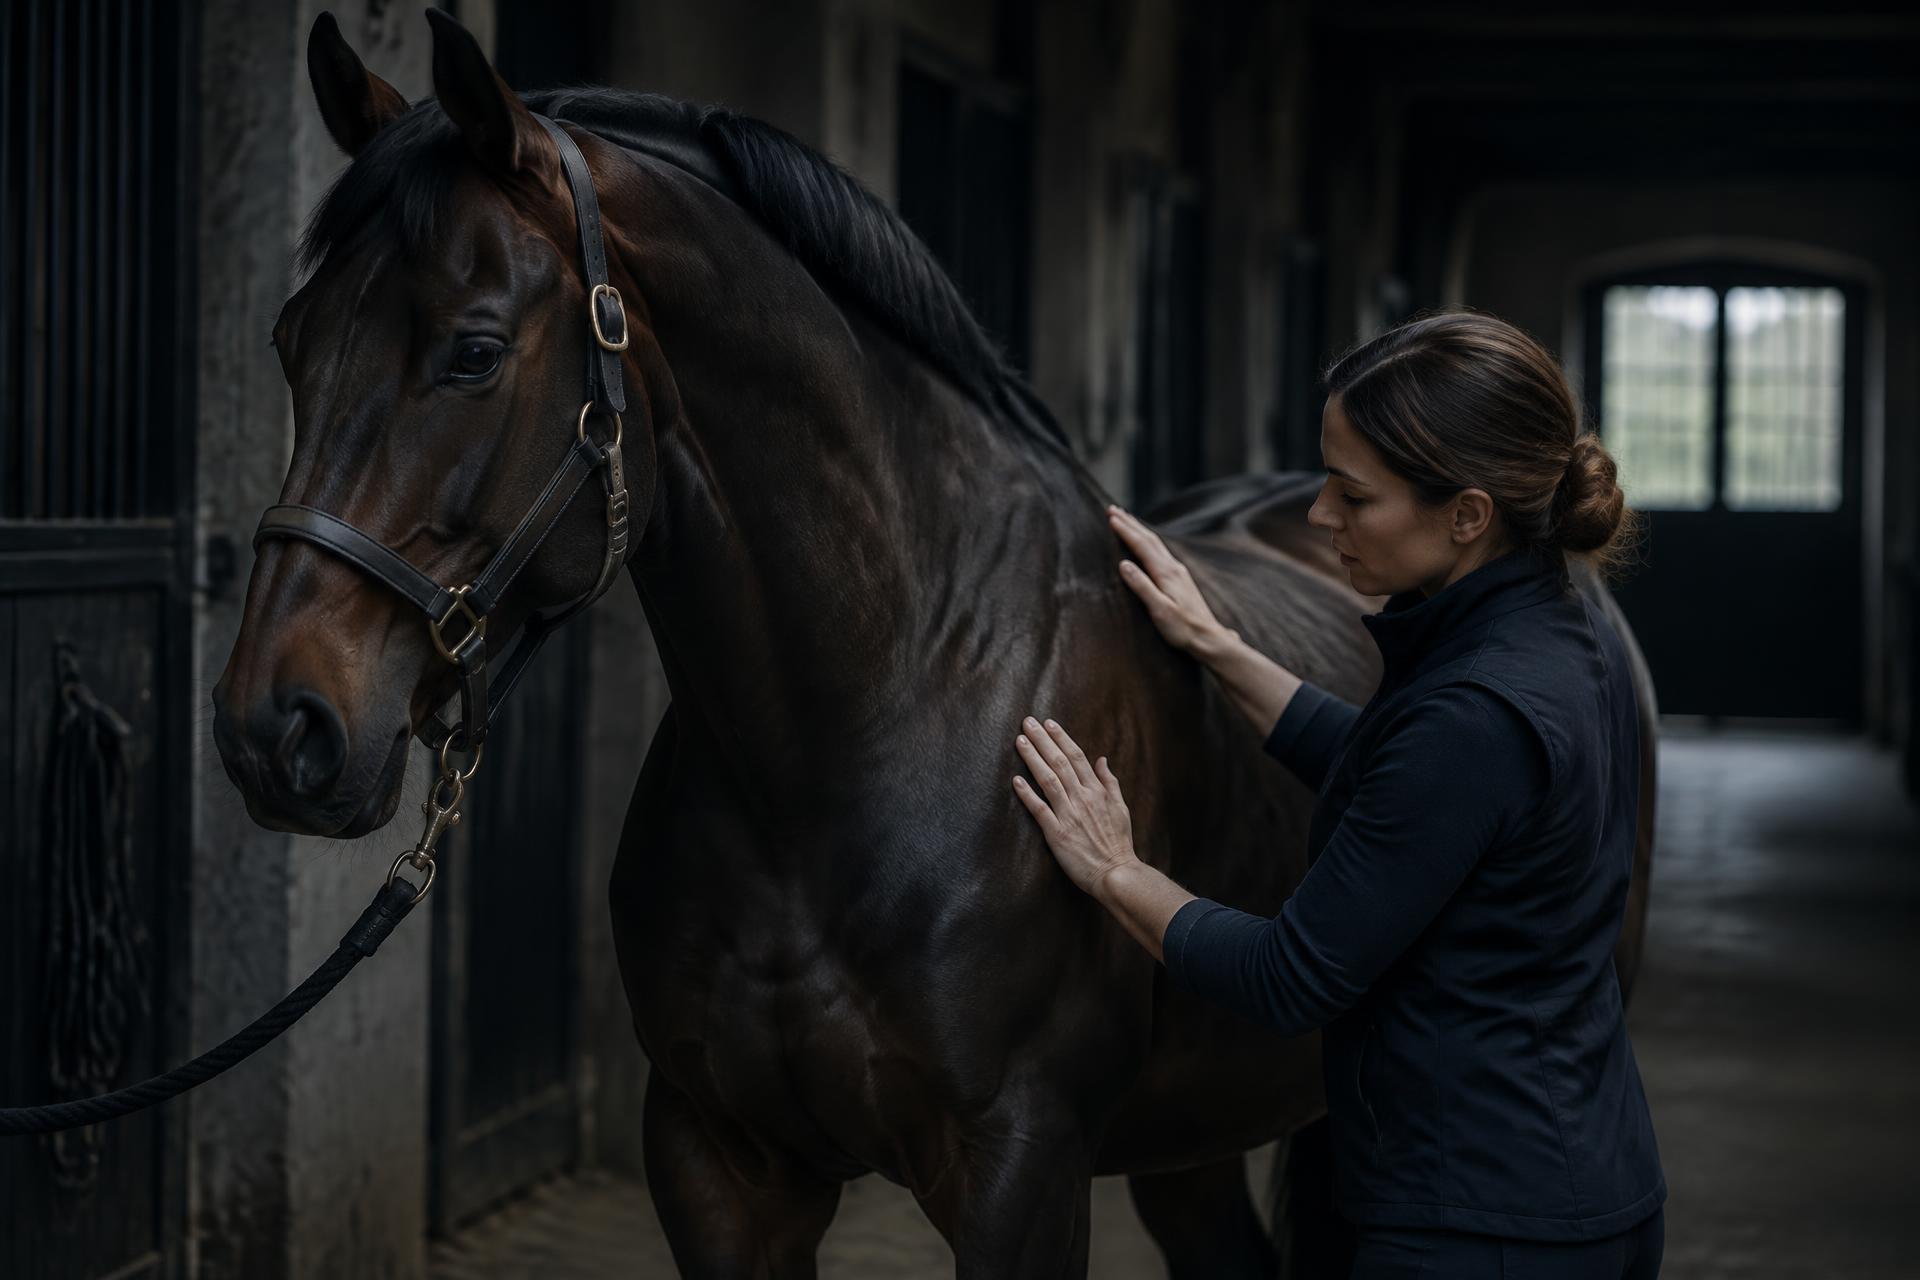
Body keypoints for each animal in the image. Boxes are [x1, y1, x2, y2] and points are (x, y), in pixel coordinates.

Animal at [210, 11, 1659, 1277]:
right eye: (287, 340)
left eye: (472, 351)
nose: (276, 728)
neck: (876, 716)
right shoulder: (720, 1165)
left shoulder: (1022, 1174)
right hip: (1191, 1137)